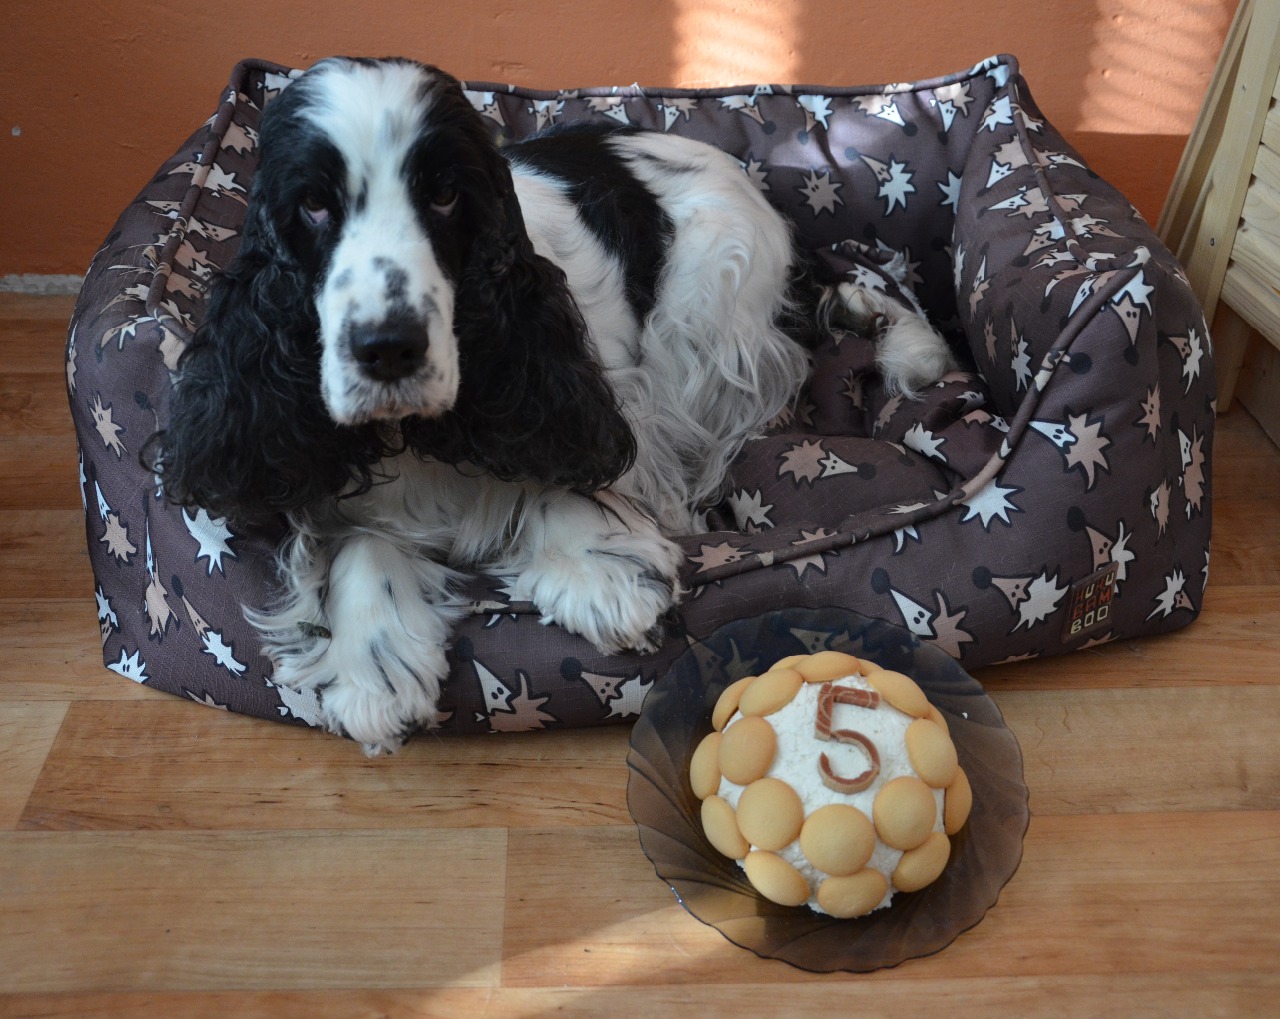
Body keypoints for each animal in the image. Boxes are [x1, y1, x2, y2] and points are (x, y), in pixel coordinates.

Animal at [147, 57, 955, 753]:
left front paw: (600, 567)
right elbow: (356, 539)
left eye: (444, 195)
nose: (388, 348)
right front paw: (371, 661)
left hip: (712, 303)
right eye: (313, 203)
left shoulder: (595, 394)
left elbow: (570, 466)